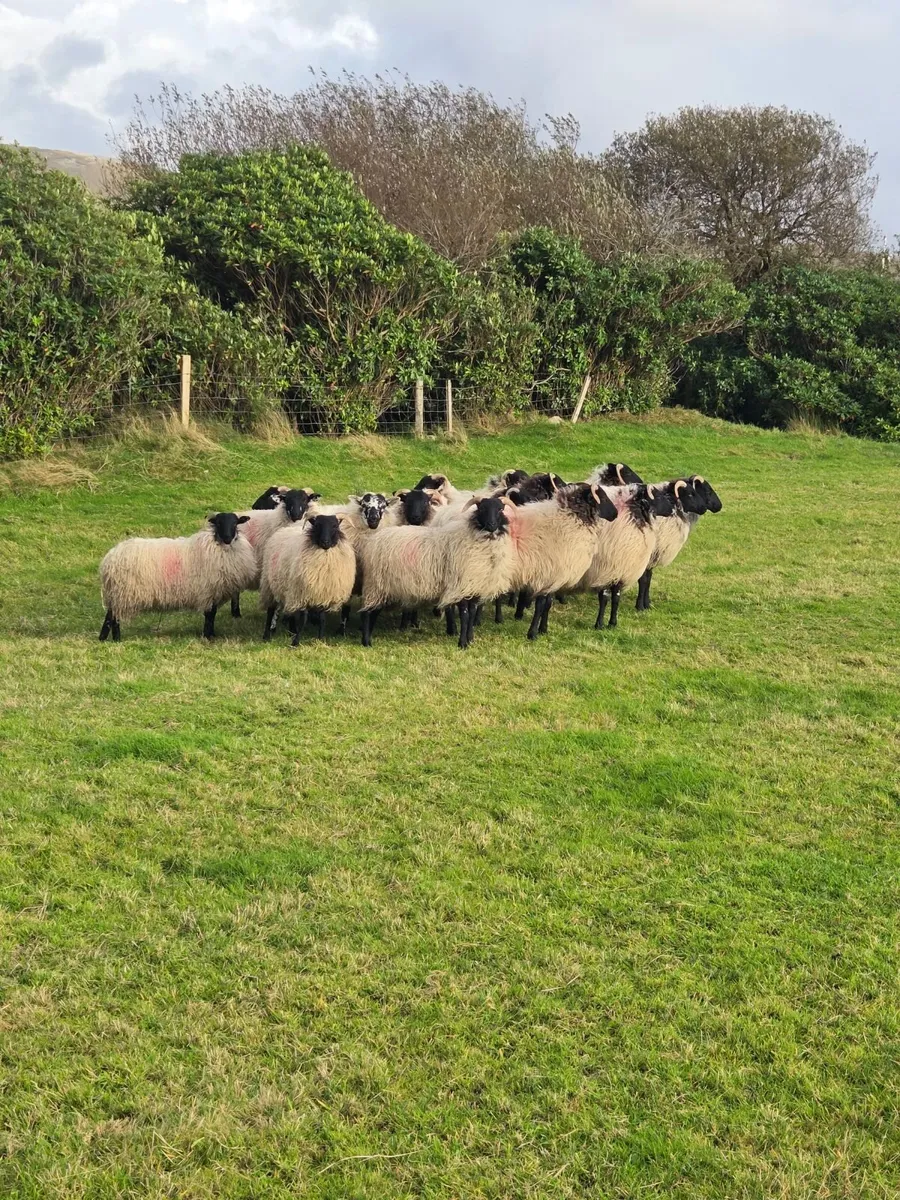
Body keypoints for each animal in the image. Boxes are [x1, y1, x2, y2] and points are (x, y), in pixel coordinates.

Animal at [99, 512, 257, 642]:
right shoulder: (208, 591)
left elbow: (212, 615)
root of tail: (110, 559)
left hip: (116, 594)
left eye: (235, 523)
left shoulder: (214, 592)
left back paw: (103, 638)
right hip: (122, 593)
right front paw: (208, 636)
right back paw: (117, 639)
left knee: (109, 616)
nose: (228, 538)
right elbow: (209, 615)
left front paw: (211, 634)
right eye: (218, 523)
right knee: (115, 618)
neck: (217, 546)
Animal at [260, 514, 356, 643]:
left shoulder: (323, 594)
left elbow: (322, 619)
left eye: (335, 526)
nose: (325, 542)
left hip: (289, 590)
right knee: (271, 610)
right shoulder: (303, 594)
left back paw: (291, 631)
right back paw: (266, 635)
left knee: (291, 611)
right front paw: (296, 642)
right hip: (270, 586)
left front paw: (320, 639)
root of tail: (283, 530)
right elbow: (303, 619)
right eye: (317, 525)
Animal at [506, 483, 618, 640]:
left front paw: (543, 629)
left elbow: (548, 604)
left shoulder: (555, 575)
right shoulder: (546, 575)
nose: (616, 514)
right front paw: (532, 633)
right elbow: (540, 605)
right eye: (603, 497)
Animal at [636, 476, 722, 611]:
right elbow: (644, 579)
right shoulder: (647, 553)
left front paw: (647, 603)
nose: (719, 506)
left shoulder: (654, 554)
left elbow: (648, 578)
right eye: (707, 490)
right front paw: (640, 606)